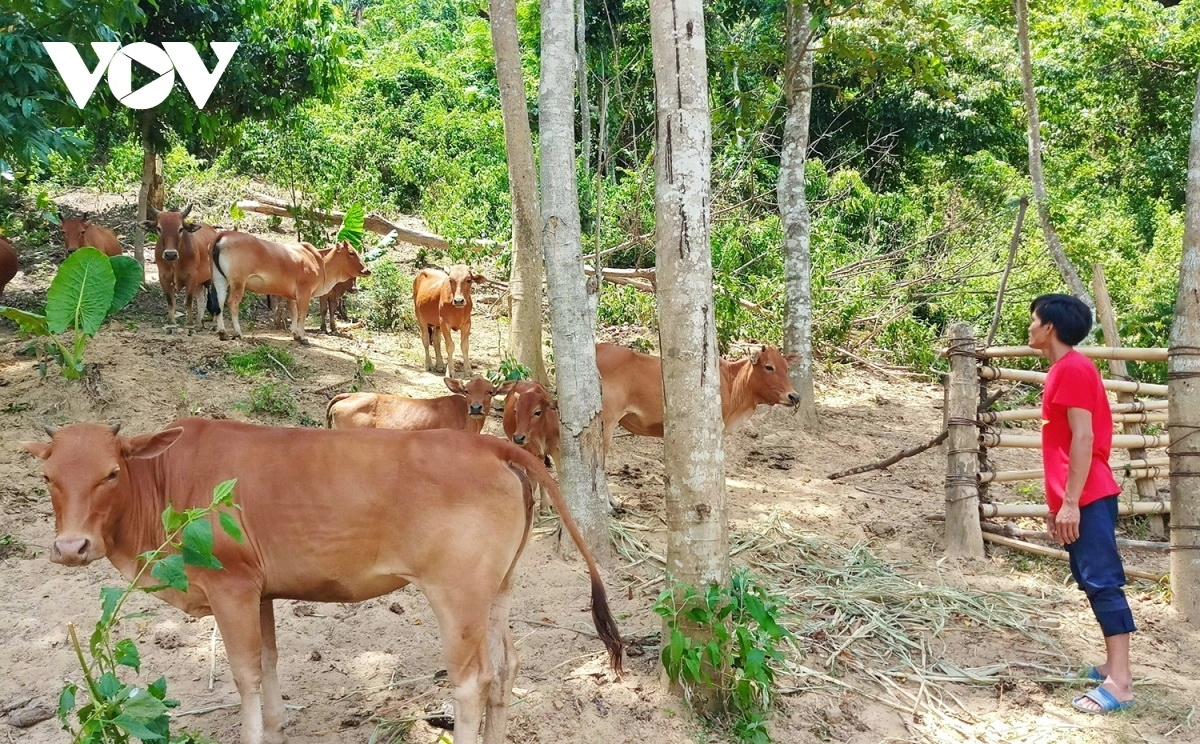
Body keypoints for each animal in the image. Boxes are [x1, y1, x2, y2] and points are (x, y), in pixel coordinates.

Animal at [211, 235, 369, 345]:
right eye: (351, 252)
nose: (367, 270)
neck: (319, 261)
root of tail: (223, 235)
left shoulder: (291, 296)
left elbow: (293, 313)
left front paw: (295, 334)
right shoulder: (304, 292)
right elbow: (302, 314)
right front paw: (303, 337)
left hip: (220, 280)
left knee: (219, 302)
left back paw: (222, 332)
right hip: (238, 282)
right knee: (232, 303)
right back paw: (238, 332)